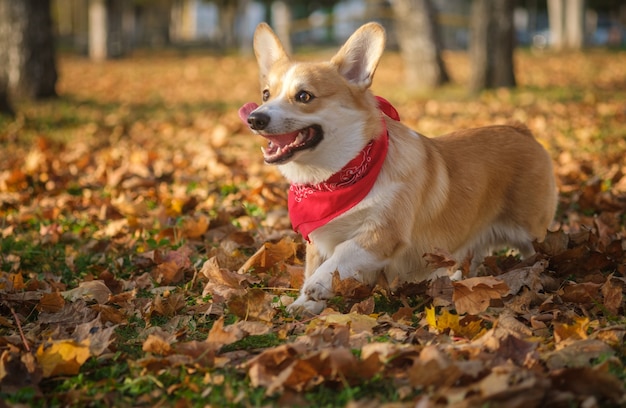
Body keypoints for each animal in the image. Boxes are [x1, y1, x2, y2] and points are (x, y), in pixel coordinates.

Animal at [239, 23, 556, 316]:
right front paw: (305, 304)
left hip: (532, 231)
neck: (335, 176)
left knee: (538, 252)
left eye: (304, 96)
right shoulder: (319, 239)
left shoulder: (382, 233)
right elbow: (316, 265)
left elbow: (341, 255)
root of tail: (521, 130)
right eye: (266, 94)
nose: (254, 119)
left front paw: (318, 284)